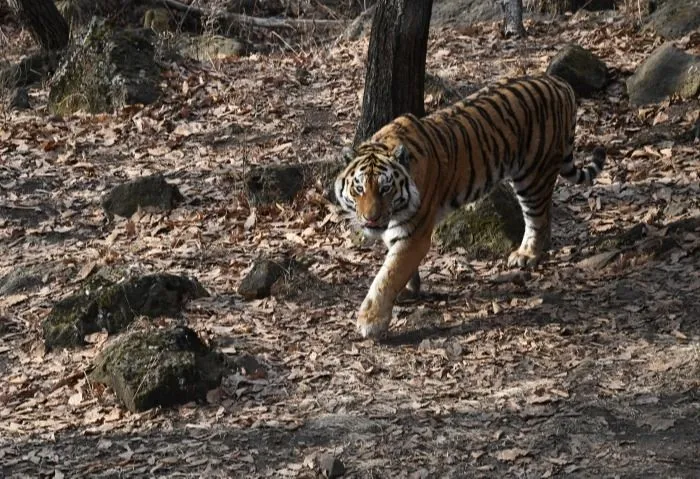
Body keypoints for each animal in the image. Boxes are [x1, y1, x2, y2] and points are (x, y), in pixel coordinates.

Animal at [336, 73, 604, 340]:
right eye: (359, 188)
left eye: (385, 189)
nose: (370, 219)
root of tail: (558, 82)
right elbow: (397, 265)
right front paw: (408, 291)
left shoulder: (415, 233)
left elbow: (389, 274)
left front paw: (371, 320)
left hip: (534, 176)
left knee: (538, 218)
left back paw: (527, 255)